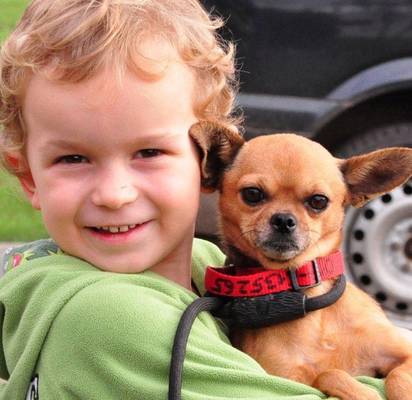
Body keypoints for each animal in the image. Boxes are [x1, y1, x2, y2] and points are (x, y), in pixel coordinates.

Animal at [190, 121, 412, 400]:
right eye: (252, 194)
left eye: (318, 201)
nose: (284, 220)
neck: (312, 299)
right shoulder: (287, 377)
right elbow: (327, 374)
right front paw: (365, 393)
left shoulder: (406, 352)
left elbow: (397, 377)